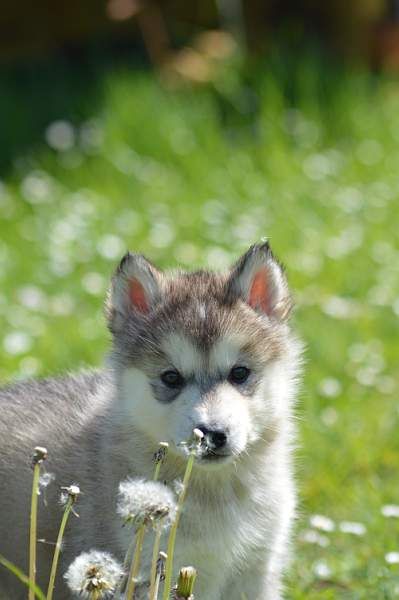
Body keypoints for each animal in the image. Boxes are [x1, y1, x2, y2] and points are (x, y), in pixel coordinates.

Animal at [0, 244, 302, 600]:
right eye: (171, 378)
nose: (212, 434)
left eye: (239, 373)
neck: (213, 491)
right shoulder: (141, 570)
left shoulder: (256, 572)